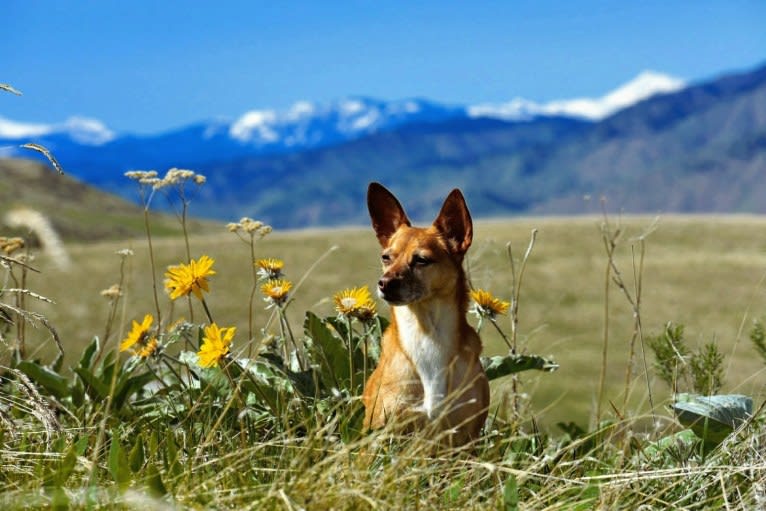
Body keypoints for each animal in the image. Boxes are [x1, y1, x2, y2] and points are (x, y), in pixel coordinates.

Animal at [364, 183, 492, 444]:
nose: (384, 283)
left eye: (422, 260)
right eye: (386, 257)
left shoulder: (466, 438)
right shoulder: (383, 433)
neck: (427, 332)